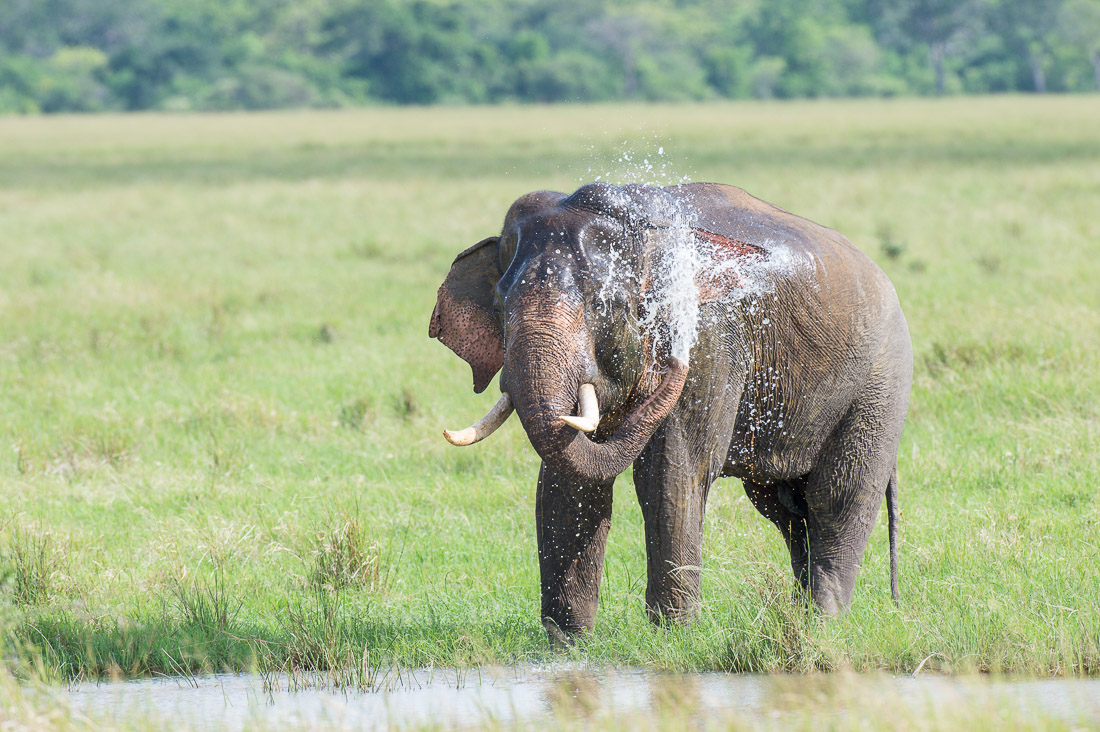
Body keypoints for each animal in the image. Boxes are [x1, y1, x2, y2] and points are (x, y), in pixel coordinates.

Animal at [429, 181, 910, 638]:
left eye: (603, 304)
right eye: (500, 307)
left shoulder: (707, 343)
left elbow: (670, 472)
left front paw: (674, 636)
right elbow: (570, 482)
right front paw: (567, 643)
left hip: (880, 384)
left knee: (837, 494)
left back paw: (821, 622)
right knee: (786, 509)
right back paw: (800, 614)